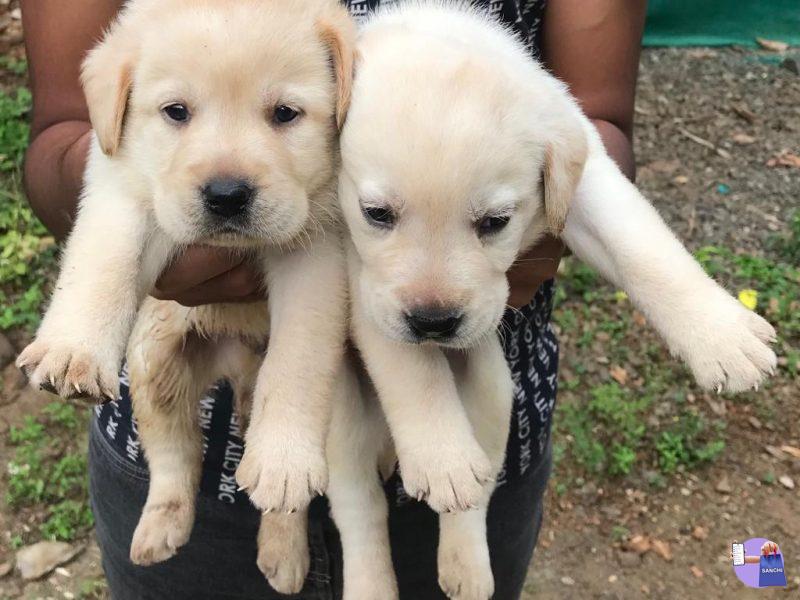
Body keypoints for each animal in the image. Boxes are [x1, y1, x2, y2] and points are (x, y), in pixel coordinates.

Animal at [17, 0, 354, 592]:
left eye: (285, 114)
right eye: (176, 112)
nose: (227, 195)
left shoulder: (316, 256)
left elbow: (298, 360)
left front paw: (284, 459)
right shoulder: (122, 183)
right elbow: (102, 261)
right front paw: (72, 350)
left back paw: (283, 550)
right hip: (155, 366)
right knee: (177, 458)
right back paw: (160, 529)